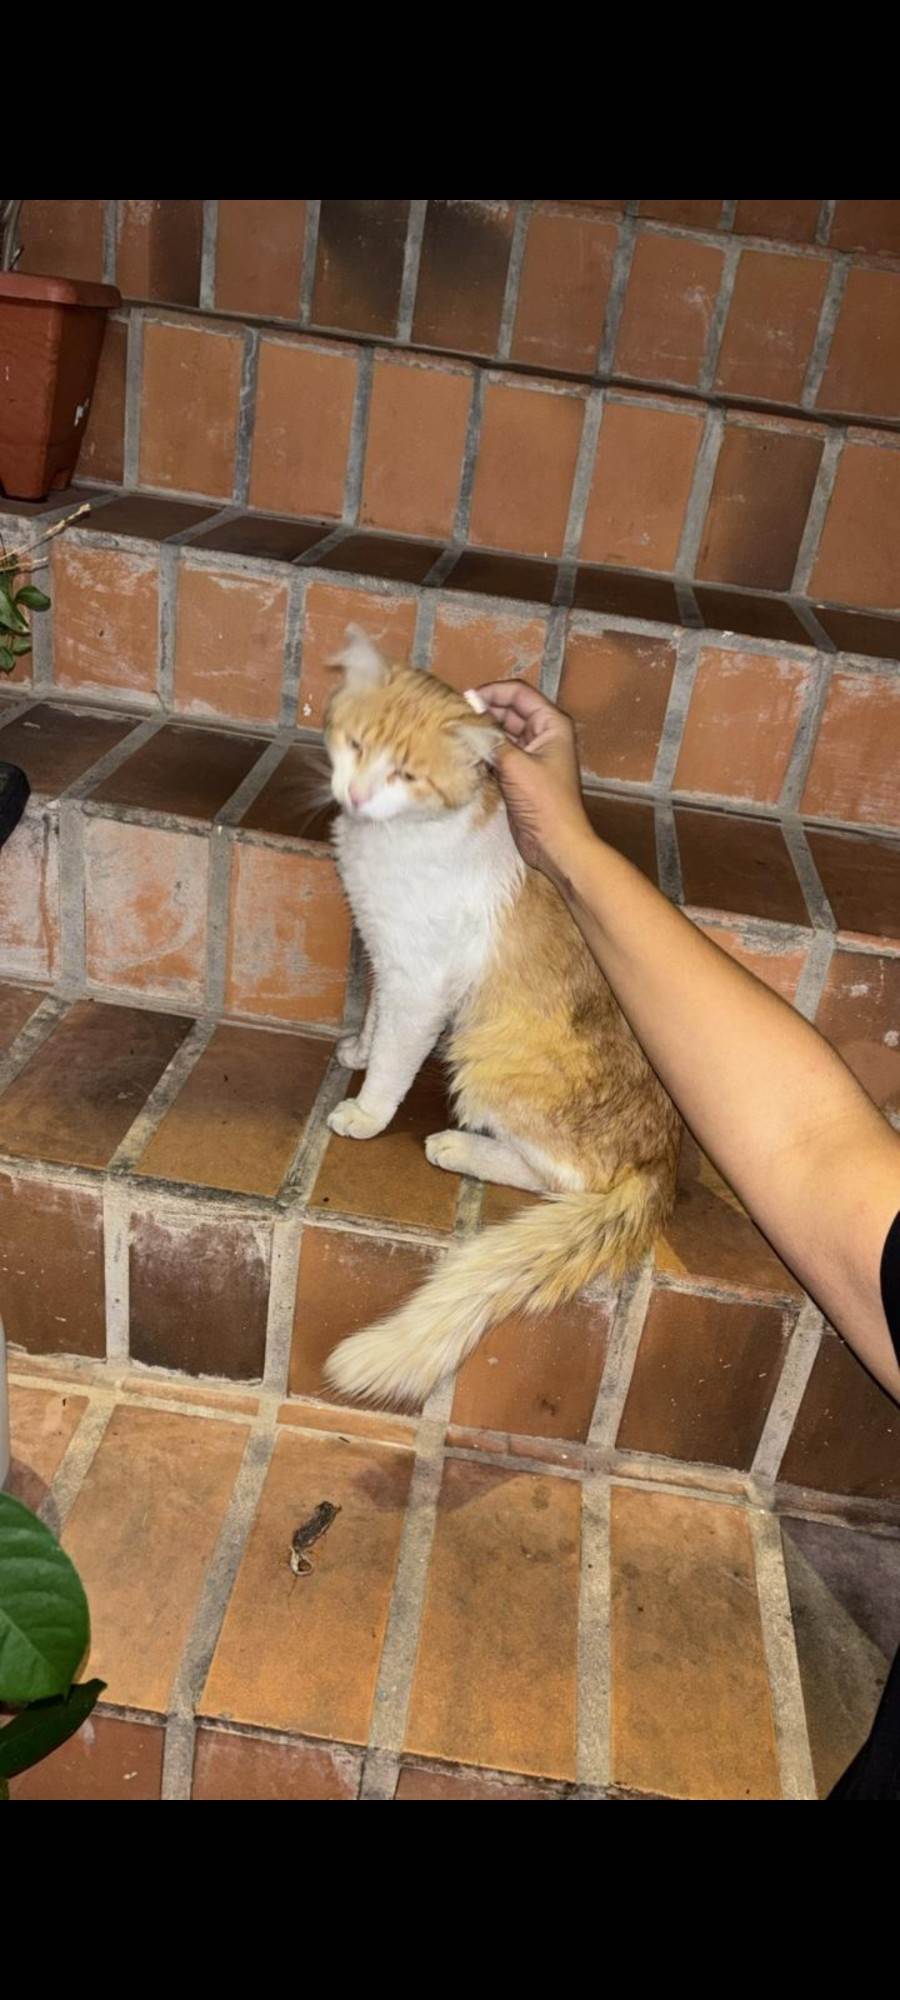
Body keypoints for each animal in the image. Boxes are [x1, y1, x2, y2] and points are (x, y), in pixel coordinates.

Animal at [321, 624, 680, 1408]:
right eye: (355, 745)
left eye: (407, 775)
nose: (356, 793)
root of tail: (665, 1163)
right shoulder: (386, 955)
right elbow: (377, 1022)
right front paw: (357, 1051)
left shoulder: (422, 983)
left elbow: (395, 1060)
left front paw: (366, 1112)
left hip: (487, 1058)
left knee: (561, 1180)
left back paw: (457, 1146)